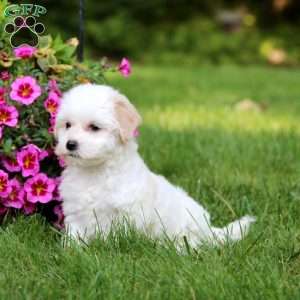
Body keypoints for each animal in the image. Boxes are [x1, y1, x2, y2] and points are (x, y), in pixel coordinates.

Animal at [54, 84, 255, 248]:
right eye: (67, 125)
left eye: (94, 127)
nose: (70, 144)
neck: (94, 171)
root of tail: (209, 230)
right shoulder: (76, 212)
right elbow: (74, 236)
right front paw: (71, 251)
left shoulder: (124, 214)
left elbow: (115, 237)